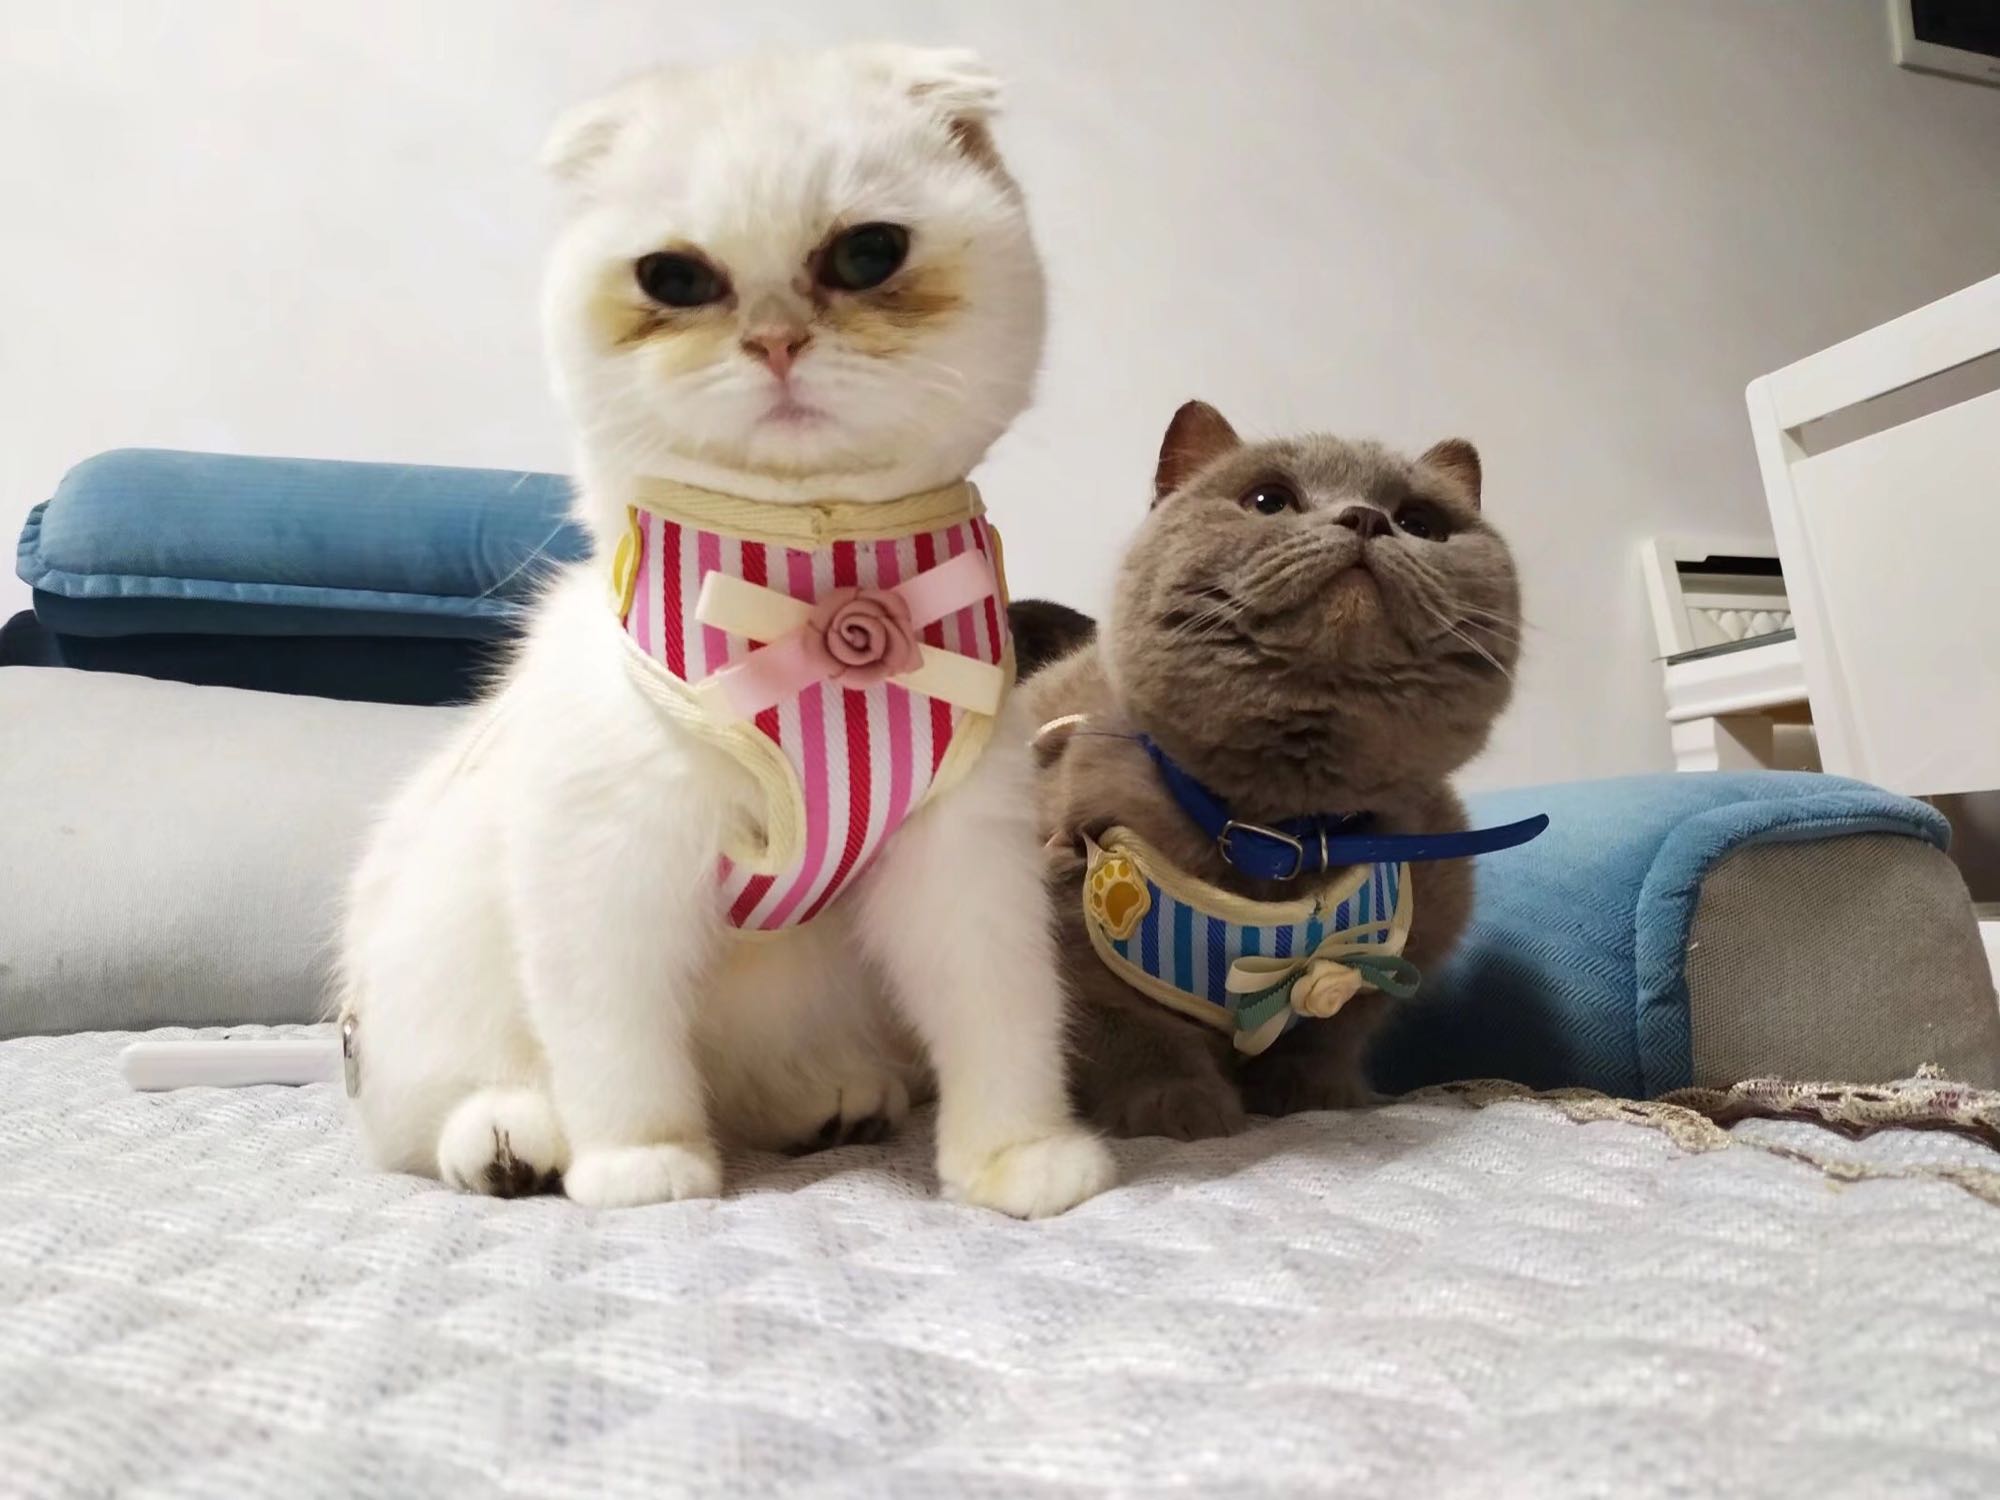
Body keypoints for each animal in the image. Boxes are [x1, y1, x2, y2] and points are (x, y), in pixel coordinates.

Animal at [338, 46, 1114, 1216]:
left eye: (868, 254)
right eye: (675, 280)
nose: (777, 340)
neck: (811, 579)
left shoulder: (962, 862)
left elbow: (1004, 1019)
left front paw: (1018, 1158)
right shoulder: (607, 867)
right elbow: (618, 1052)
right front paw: (640, 1167)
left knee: (762, 1084)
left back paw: (827, 1102)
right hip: (441, 965)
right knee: (445, 1110)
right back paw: (517, 1144)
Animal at [1024, 401, 1522, 1139]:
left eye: (1419, 522)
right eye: (1268, 501)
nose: (1365, 518)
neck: (1283, 832)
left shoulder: (1410, 929)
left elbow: (1334, 1027)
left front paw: (1312, 1093)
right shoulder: (1069, 938)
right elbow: (1134, 1034)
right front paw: (1179, 1107)